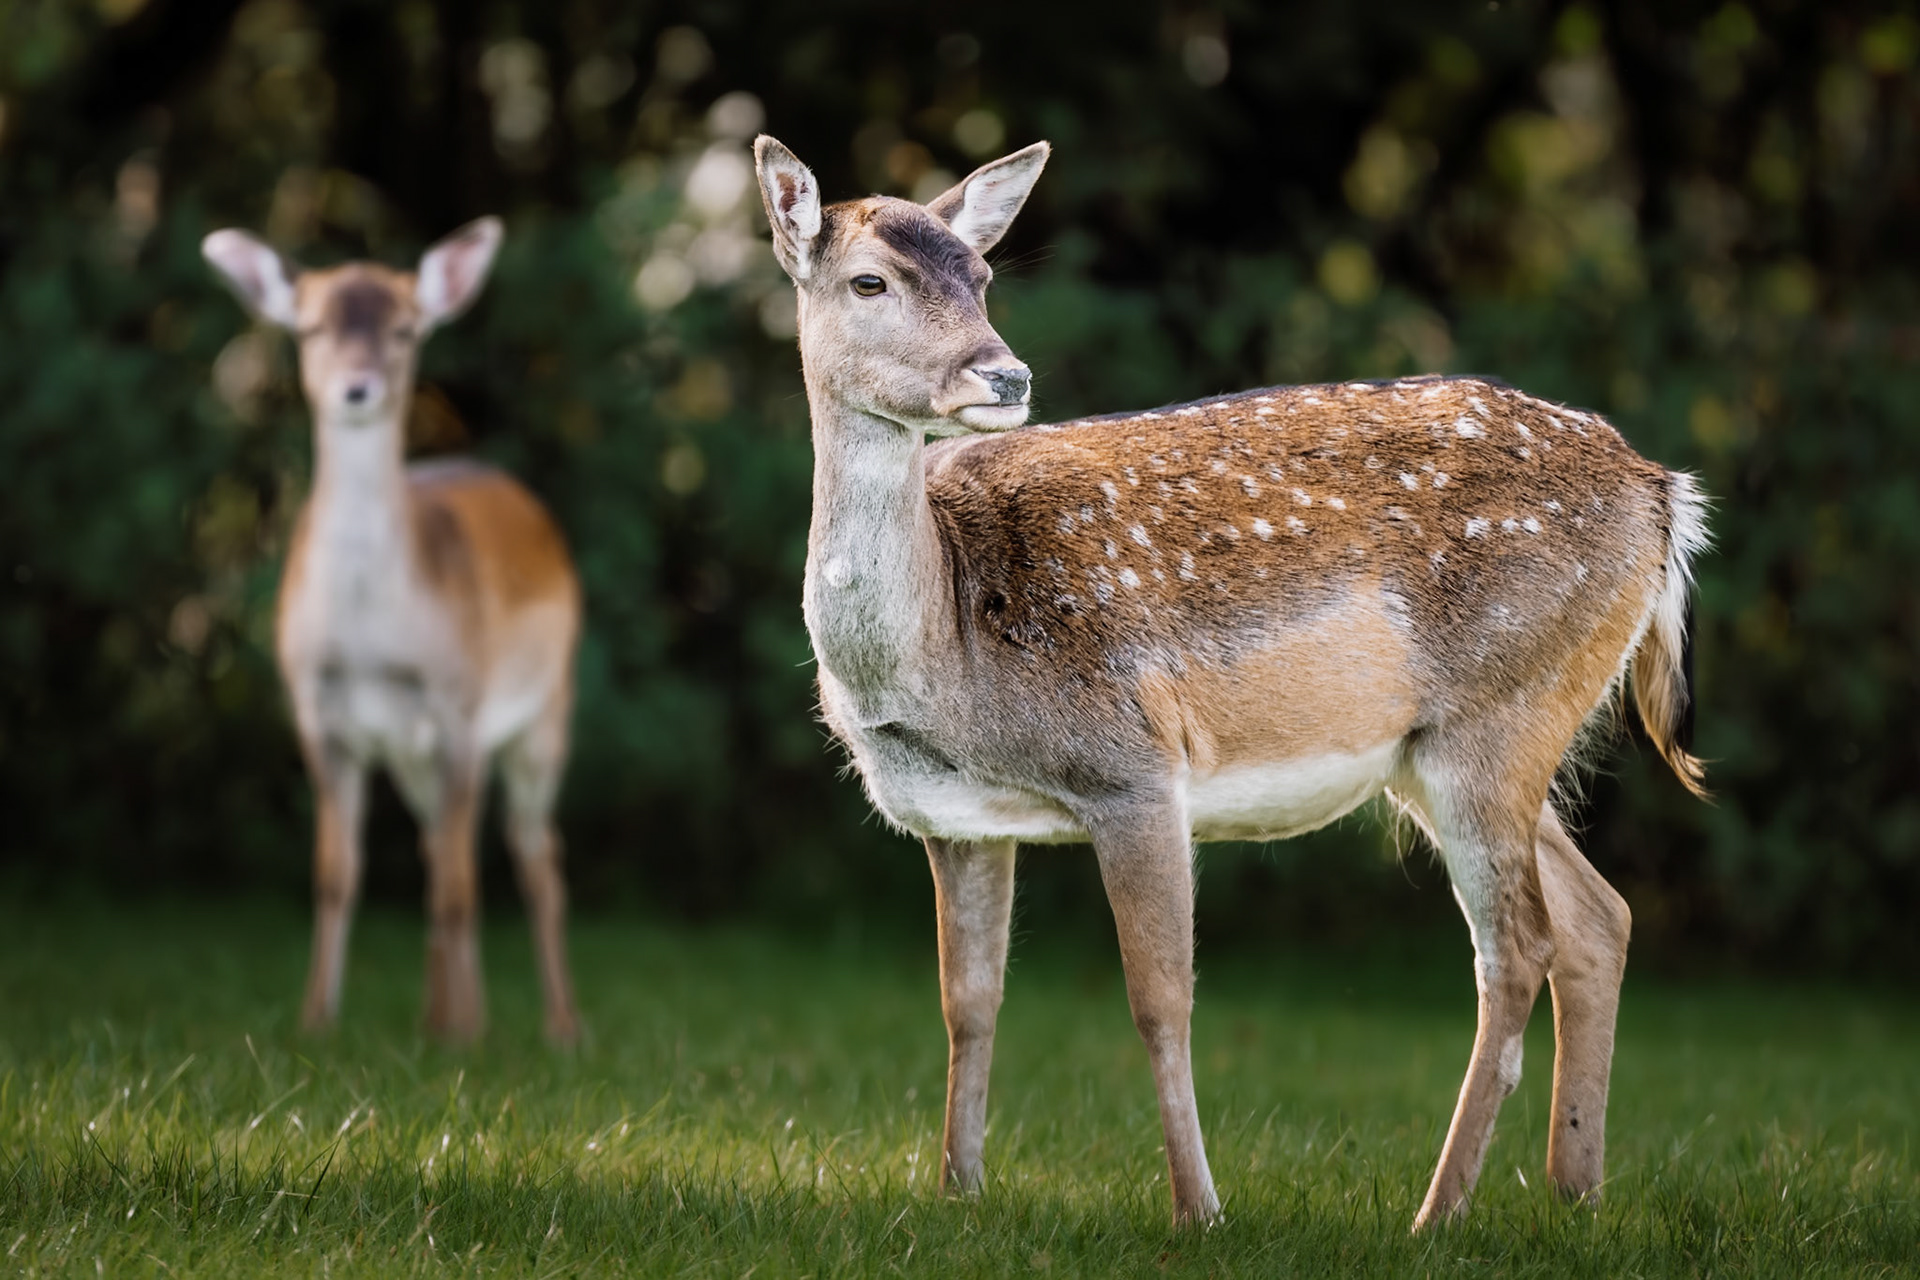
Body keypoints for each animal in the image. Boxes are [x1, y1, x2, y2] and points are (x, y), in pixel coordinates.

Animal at [202, 218, 583, 1046]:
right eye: (311, 327)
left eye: (405, 330)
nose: (357, 388)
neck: (373, 642)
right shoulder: (318, 714)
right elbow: (337, 875)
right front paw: (317, 1021)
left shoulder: (459, 707)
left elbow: (459, 886)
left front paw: (465, 1037)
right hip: (417, 754)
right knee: (442, 847)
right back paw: (442, 1019)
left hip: (544, 711)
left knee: (531, 856)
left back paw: (556, 1029)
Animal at [752, 134, 1710, 1230]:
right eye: (869, 281)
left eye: (981, 277)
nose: (1006, 373)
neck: (944, 642)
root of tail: (1663, 495)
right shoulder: (956, 820)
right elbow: (968, 1001)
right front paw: (958, 1189)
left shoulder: (1130, 765)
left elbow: (1160, 1002)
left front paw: (1197, 1210)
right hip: (1454, 748)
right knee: (1600, 917)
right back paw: (1573, 1193)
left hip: (1498, 715)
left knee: (1518, 949)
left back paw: (1434, 1216)